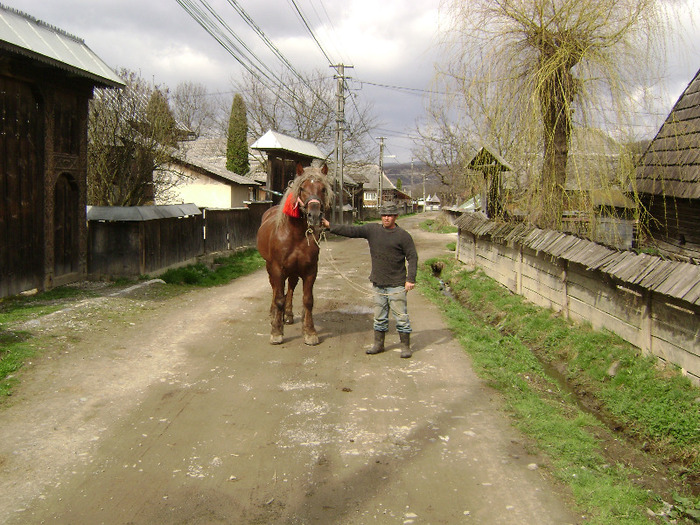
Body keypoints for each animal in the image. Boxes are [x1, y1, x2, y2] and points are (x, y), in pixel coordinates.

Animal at [258, 163, 334, 344]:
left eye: (323, 189)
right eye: (303, 188)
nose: (314, 215)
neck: (295, 235)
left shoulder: (310, 270)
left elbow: (308, 300)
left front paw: (310, 332)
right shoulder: (277, 269)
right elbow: (279, 298)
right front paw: (276, 331)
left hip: (293, 271)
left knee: (291, 288)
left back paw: (288, 315)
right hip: (270, 268)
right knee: (274, 289)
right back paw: (274, 314)